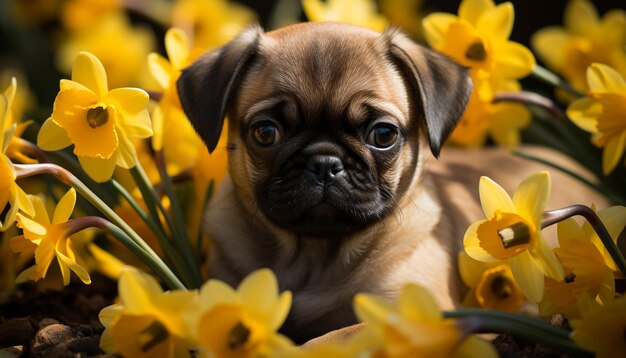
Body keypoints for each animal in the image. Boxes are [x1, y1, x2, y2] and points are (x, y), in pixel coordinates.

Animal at [176, 23, 604, 344]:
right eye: (265, 133)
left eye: (383, 134)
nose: (325, 162)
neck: (314, 256)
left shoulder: (413, 312)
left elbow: (338, 334)